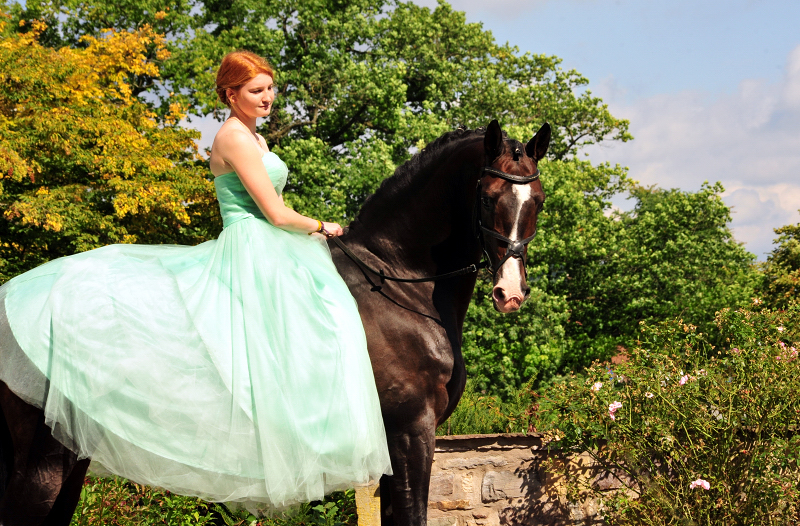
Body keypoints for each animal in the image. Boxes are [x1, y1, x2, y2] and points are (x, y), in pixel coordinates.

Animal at [0, 120, 552, 526]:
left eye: (538, 200)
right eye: (488, 196)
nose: (510, 293)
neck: (397, 282)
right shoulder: (410, 431)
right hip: (44, 464)